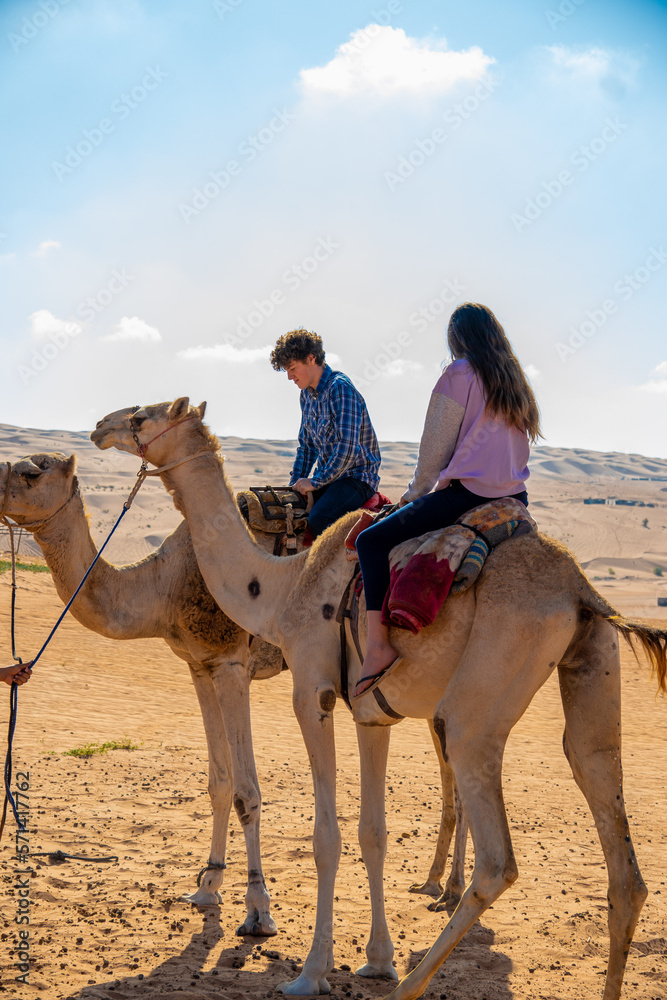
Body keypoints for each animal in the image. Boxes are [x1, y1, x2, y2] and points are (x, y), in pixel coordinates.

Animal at [91, 397, 667, 1000]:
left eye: (142, 416)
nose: (101, 427)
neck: (280, 587)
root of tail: (581, 591)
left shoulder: (312, 692)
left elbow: (326, 836)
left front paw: (312, 972)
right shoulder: (373, 716)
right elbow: (373, 834)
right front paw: (376, 961)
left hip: (478, 699)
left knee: (497, 858)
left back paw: (410, 984)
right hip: (591, 670)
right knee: (612, 828)